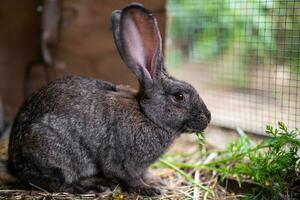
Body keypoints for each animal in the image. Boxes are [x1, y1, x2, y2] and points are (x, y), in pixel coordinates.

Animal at [7, 2, 210, 197]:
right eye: (179, 96)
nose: (207, 118)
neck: (147, 115)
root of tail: (14, 163)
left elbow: (144, 173)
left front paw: (156, 181)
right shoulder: (123, 161)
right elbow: (130, 178)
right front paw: (149, 189)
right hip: (53, 152)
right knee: (60, 182)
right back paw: (93, 187)